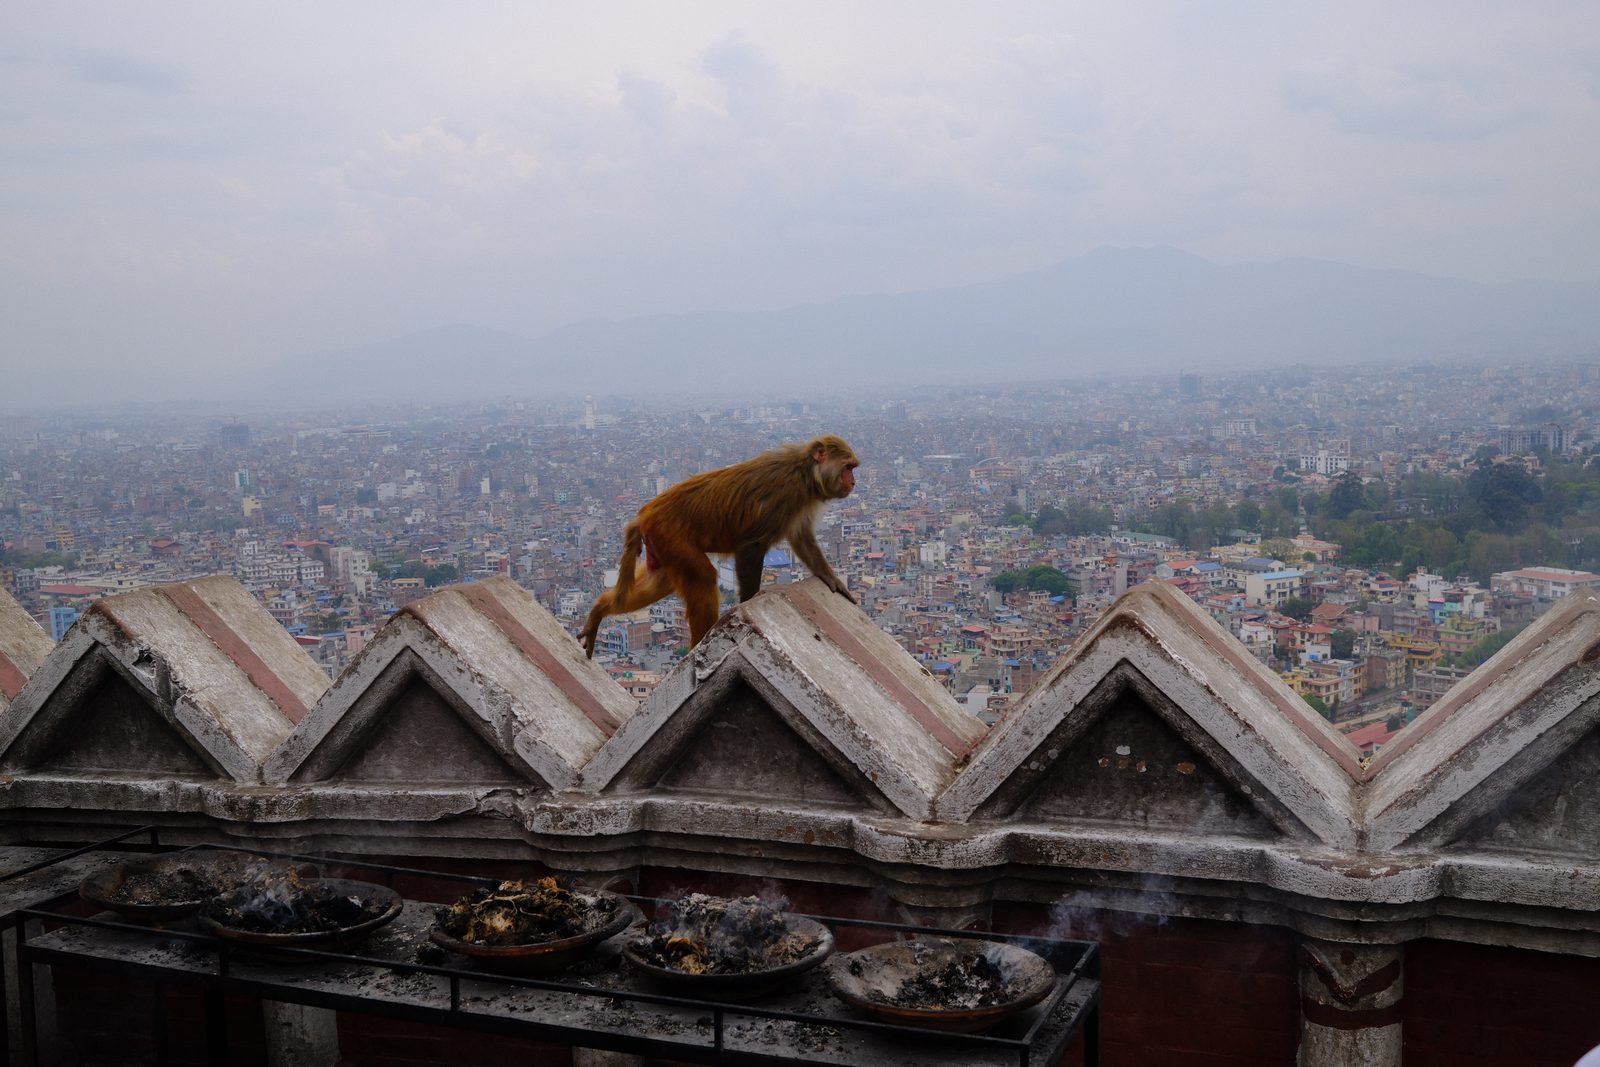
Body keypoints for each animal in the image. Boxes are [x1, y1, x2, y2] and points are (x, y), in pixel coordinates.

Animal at [579, 435, 859, 657]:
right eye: (848, 467)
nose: (853, 482)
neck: (806, 471)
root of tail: (646, 513)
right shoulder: (787, 495)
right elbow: (751, 547)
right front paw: (746, 602)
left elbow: (802, 539)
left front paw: (831, 578)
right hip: (671, 534)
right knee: (703, 577)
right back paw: (698, 644)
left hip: (661, 544)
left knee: (662, 581)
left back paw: (599, 609)